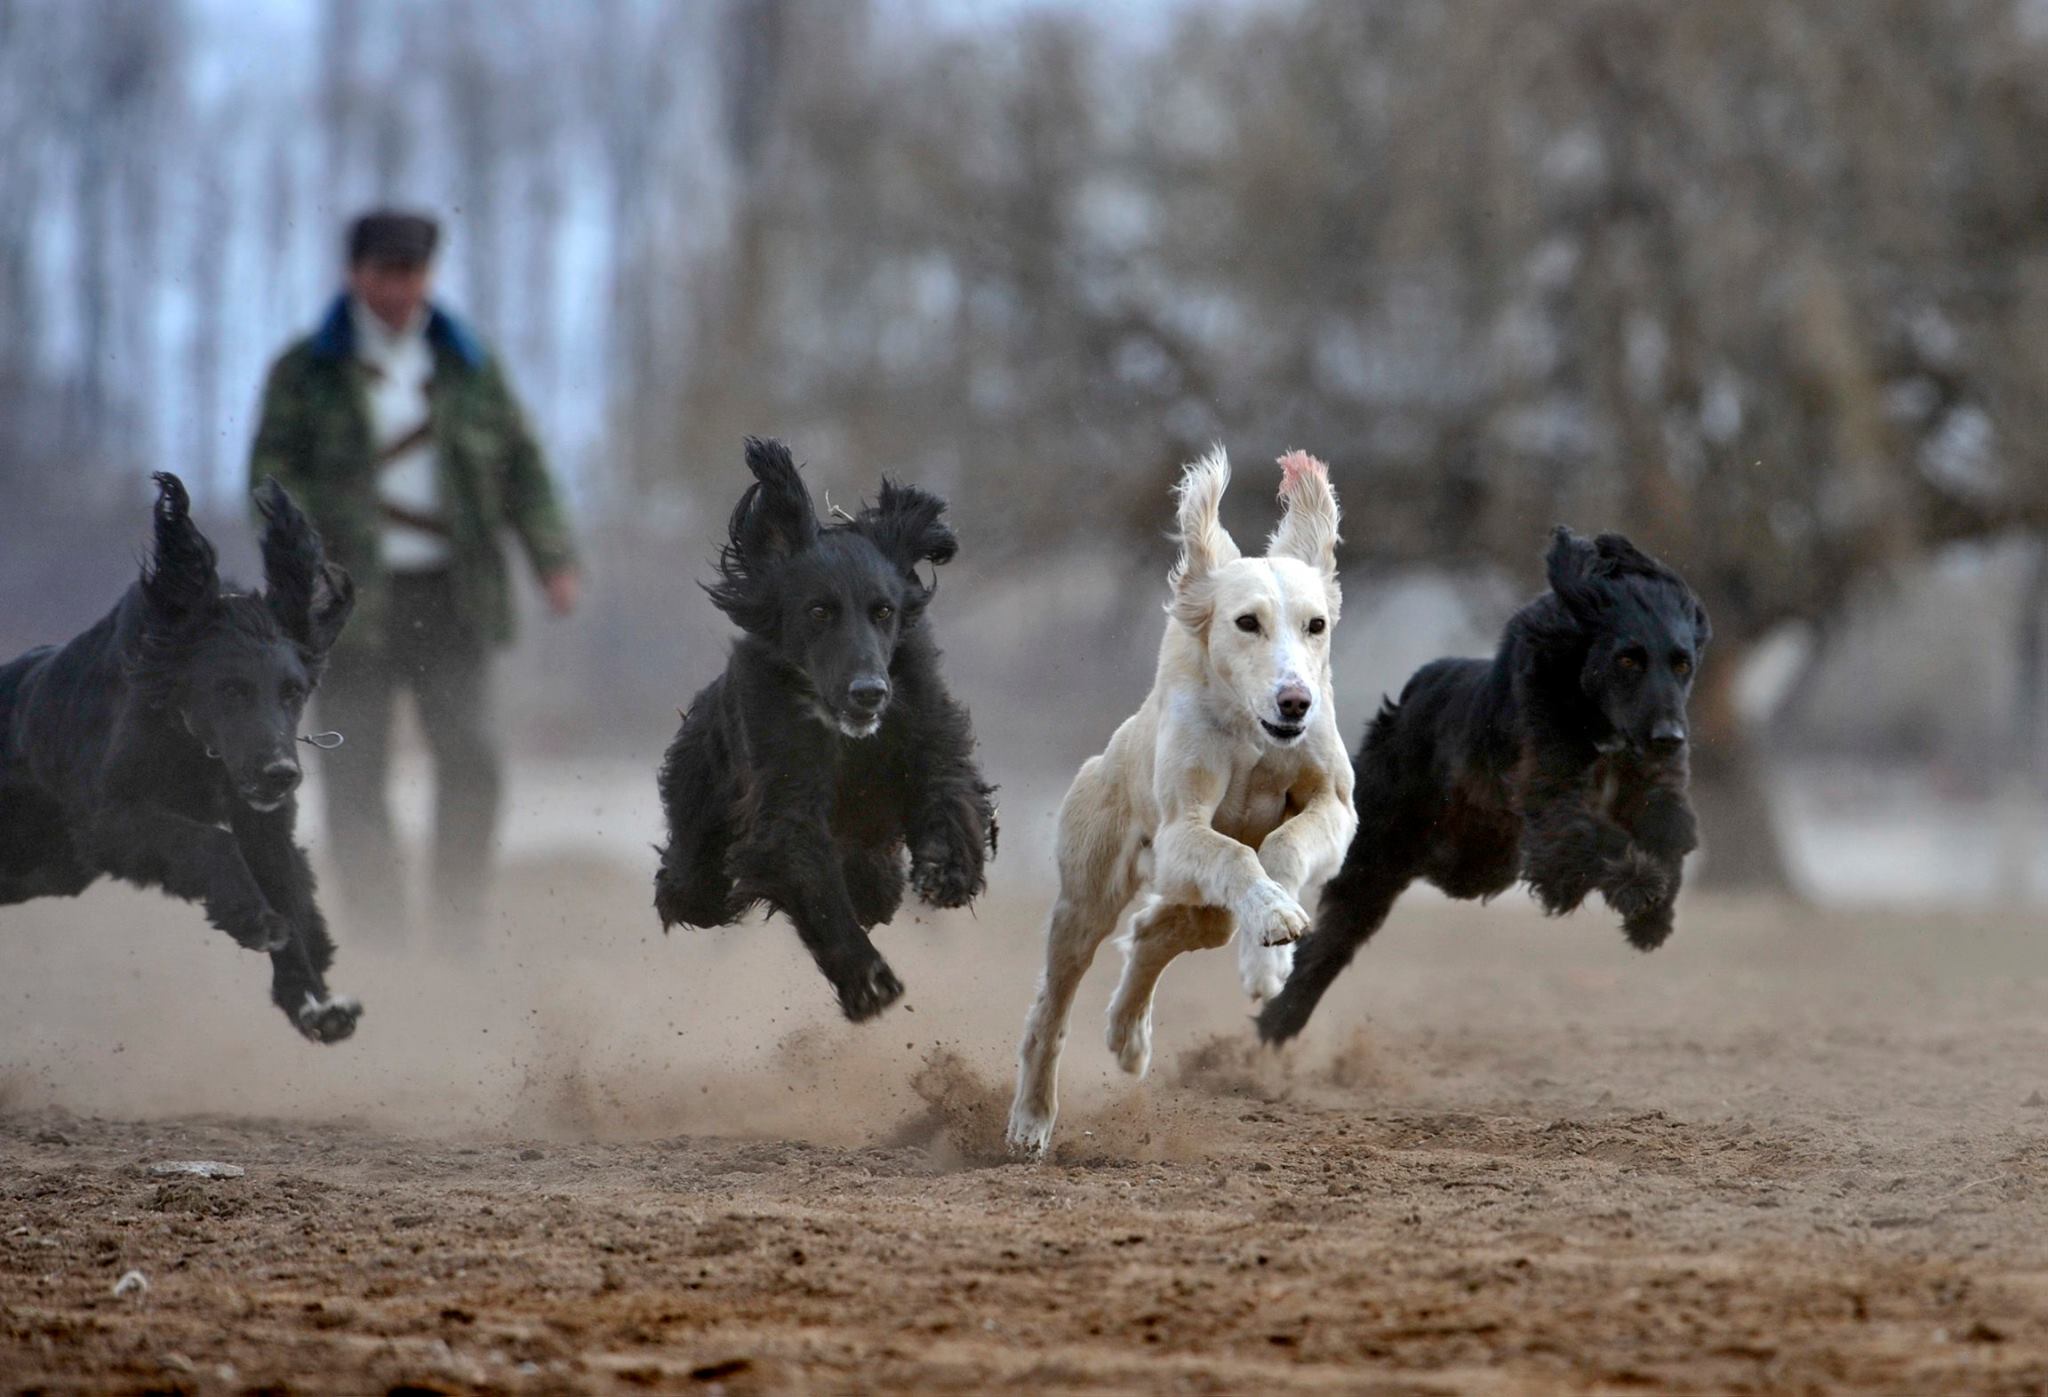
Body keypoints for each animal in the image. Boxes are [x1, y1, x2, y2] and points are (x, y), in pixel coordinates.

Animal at [0, 473, 360, 1040]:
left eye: (294, 692)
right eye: (230, 689)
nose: (281, 775)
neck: (192, 740)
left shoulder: (266, 825)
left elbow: (289, 891)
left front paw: (311, 1001)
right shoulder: (108, 821)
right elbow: (211, 842)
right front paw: (253, 918)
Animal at [655, 440, 999, 1016]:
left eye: (883, 611)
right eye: (819, 611)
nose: (869, 692)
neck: (845, 734)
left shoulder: (926, 725)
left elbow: (948, 788)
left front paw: (948, 871)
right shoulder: (783, 786)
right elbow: (807, 871)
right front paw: (867, 978)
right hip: (698, 837)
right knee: (688, 890)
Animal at [1007, 446, 1359, 1155]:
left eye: (1315, 625)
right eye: (1247, 622)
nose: (1295, 702)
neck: (1252, 734)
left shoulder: (1337, 809)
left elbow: (1282, 845)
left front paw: (1269, 958)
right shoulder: (1180, 829)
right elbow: (1234, 855)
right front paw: (1272, 923)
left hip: (1199, 907)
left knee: (1157, 932)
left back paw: (1128, 1035)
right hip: (1086, 898)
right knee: (1052, 1006)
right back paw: (1031, 1120)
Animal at [1261, 528, 1712, 1040]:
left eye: (1682, 664)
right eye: (1628, 659)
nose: (1669, 738)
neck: (1596, 718)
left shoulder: (1656, 790)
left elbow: (1670, 831)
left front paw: (1654, 918)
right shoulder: (1552, 805)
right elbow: (1592, 839)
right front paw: (1641, 887)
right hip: (1383, 851)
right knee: (1333, 937)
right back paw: (1272, 1027)